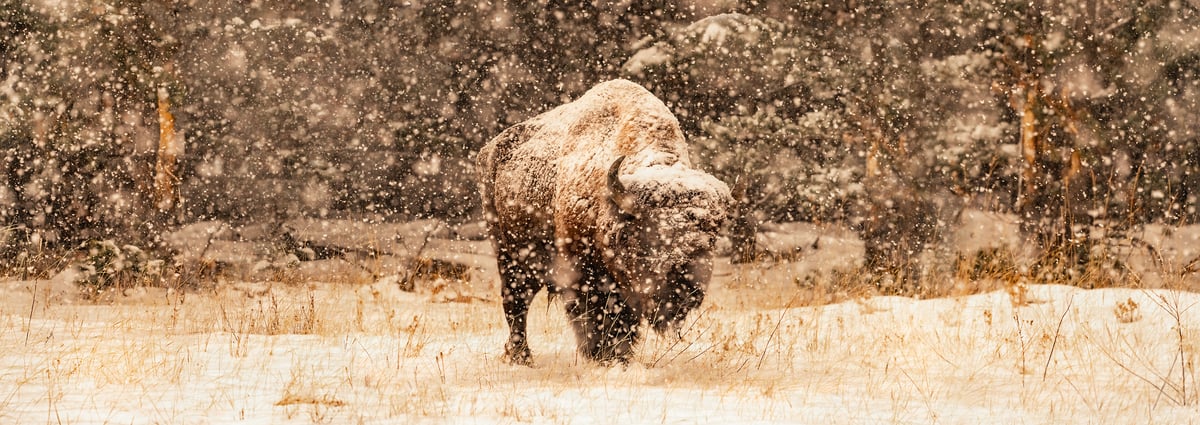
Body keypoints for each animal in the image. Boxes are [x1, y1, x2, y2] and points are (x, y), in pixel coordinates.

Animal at [476, 79, 733, 365]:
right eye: (651, 235)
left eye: (711, 238)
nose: (686, 287)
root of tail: (489, 150)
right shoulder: (584, 273)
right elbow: (598, 316)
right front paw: (602, 355)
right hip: (510, 255)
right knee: (517, 303)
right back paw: (521, 357)